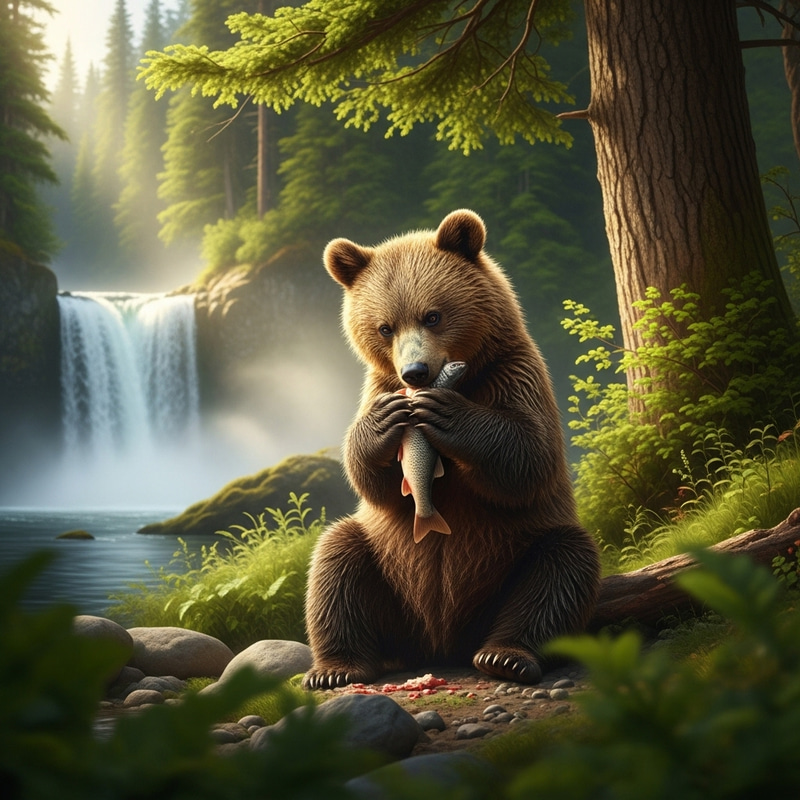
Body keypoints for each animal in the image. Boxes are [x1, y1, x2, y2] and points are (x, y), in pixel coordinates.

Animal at [303, 209, 600, 689]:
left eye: (433, 315)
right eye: (385, 326)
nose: (415, 372)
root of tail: (440, 641)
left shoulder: (513, 375)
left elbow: (527, 455)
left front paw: (445, 413)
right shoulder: (377, 386)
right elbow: (371, 478)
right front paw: (385, 422)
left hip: (516, 553)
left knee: (561, 569)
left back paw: (505, 655)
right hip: (386, 564)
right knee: (336, 562)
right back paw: (335, 668)